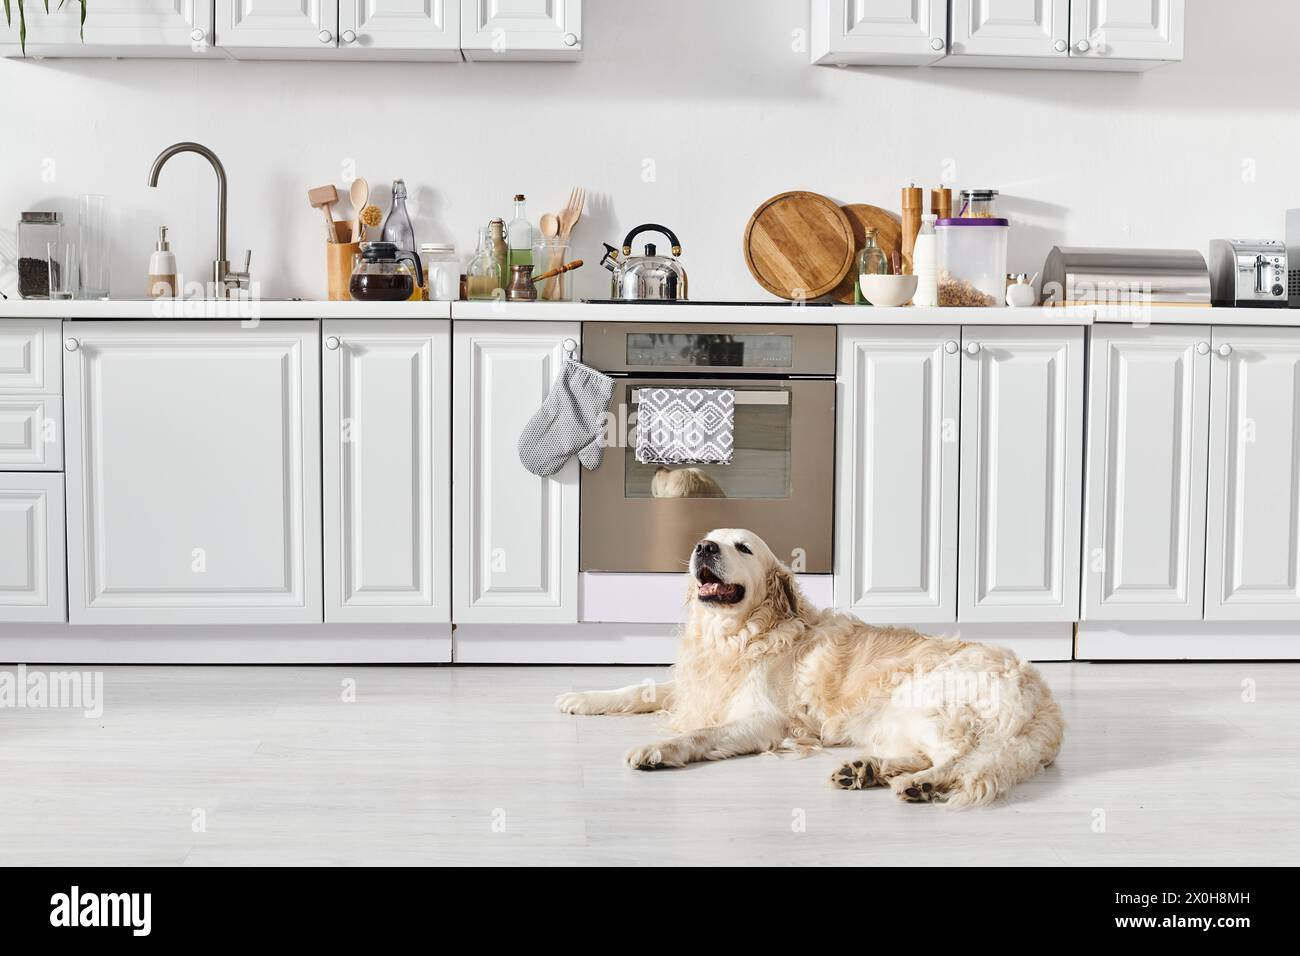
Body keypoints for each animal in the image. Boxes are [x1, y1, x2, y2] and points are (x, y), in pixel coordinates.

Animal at [553, 530, 1060, 806]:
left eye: (742, 547)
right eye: (709, 537)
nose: (703, 547)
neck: (740, 635)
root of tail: (1041, 695)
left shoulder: (766, 720)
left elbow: (699, 734)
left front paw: (658, 748)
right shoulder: (699, 687)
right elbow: (640, 689)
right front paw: (581, 697)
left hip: (926, 703)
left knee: (960, 757)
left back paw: (921, 785)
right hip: (893, 719)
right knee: (928, 754)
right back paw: (867, 770)